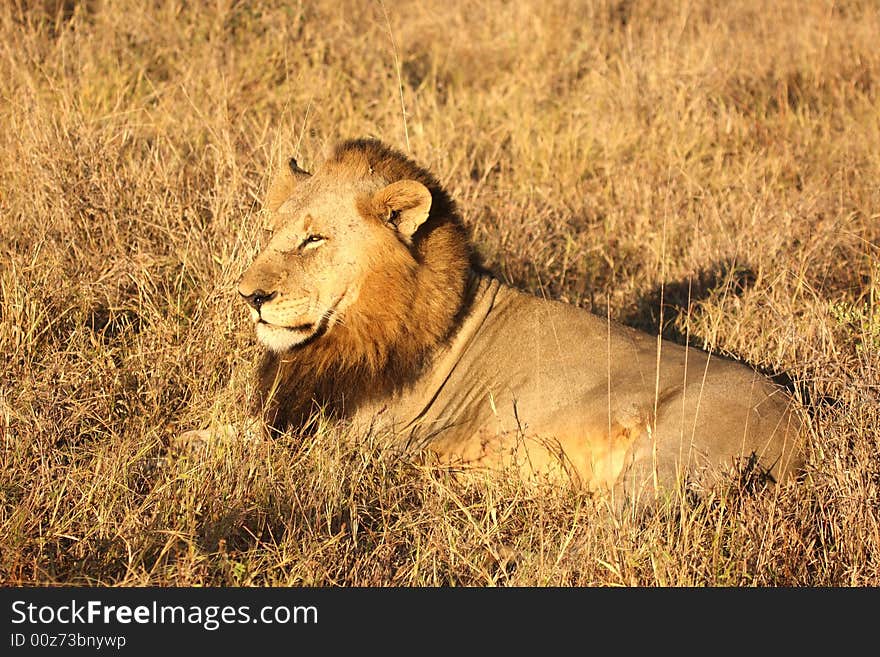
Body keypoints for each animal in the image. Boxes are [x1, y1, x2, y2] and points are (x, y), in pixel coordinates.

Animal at [234, 137, 804, 498]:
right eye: (271, 231)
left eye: (314, 238)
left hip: (668, 462)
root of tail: (806, 426)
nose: (249, 295)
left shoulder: (358, 435)